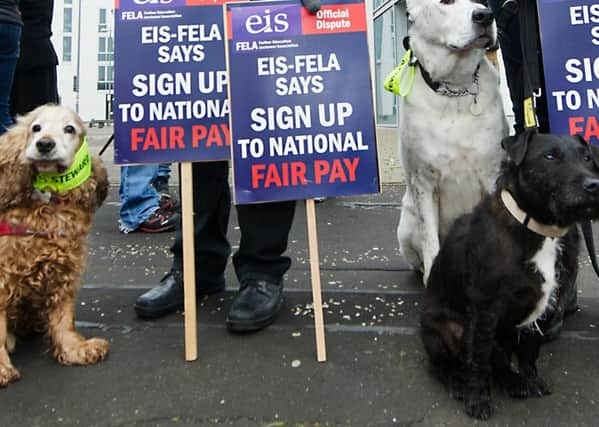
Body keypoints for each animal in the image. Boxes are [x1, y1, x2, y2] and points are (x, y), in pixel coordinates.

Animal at [398, 0, 510, 284]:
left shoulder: (492, 174)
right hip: (405, 226)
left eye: (485, 3)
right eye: (446, 2)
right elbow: (430, 240)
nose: (485, 16)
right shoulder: (424, 181)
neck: (455, 88)